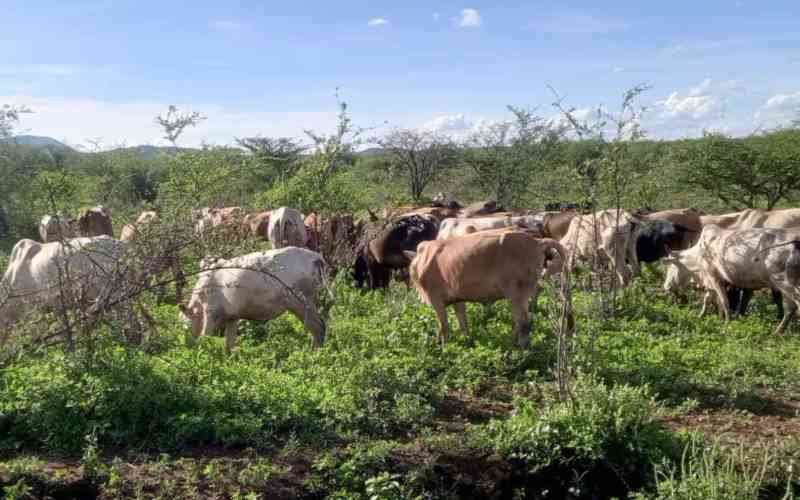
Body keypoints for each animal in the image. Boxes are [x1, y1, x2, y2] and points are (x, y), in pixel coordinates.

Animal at [178, 247, 326, 352]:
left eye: (185, 327)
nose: (186, 346)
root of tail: (316, 257)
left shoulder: (211, 313)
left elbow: (204, 336)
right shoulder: (232, 317)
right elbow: (229, 344)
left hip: (299, 302)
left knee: (317, 326)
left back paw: (314, 353)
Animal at [406, 230, 569, 347]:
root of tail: (537, 242)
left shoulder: (436, 300)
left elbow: (443, 327)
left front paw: (442, 346)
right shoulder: (457, 299)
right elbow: (462, 323)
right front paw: (467, 340)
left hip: (517, 294)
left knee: (523, 323)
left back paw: (519, 348)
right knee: (519, 322)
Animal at [663, 225, 800, 334]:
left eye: (670, 266)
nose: (666, 286)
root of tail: (796, 241)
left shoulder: (714, 277)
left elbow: (724, 302)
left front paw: (727, 322)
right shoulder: (713, 282)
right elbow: (708, 299)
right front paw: (702, 315)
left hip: (783, 282)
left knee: (793, 305)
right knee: (791, 307)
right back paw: (779, 331)